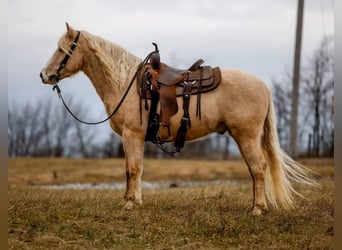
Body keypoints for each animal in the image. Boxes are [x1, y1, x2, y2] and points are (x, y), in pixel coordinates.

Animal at [40, 23, 316, 215]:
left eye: (62, 49)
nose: (44, 75)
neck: (126, 84)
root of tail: (263, 85)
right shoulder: (127, 139)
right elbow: (130, 169)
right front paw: (131, 200)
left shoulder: (132, 135)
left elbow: (134, 168)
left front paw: (130, 204)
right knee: (254, 169)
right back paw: (254, 205)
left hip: (246, 136)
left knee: (258, 168)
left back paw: (258, 209)